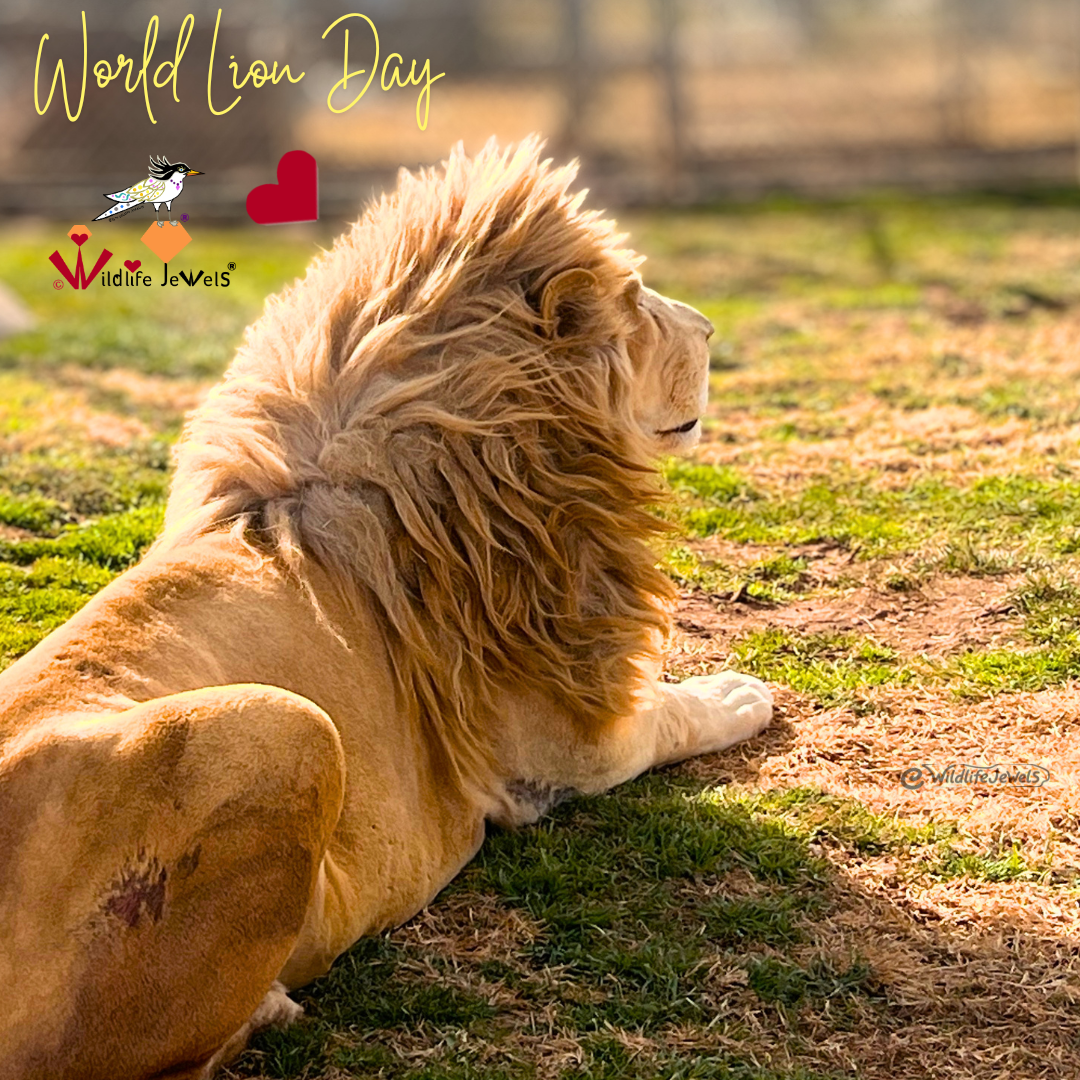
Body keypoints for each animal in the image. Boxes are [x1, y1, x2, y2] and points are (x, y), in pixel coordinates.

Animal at [0, 138, 771, 1080]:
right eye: (637, 307)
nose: (709, 327)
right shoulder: (564, 748)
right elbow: (672, 715)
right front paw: (737, 692)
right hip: (286, 725)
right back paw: (272, 1003)